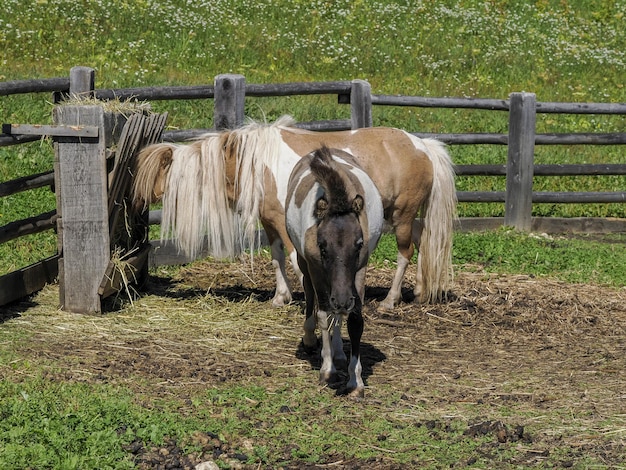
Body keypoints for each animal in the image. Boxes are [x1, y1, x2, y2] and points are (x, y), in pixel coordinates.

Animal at [133, 116, 454, 310]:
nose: (136, 200)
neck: (254, 163)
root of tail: (423, 146)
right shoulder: (270, 222)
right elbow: (277, 258)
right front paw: (280, 297)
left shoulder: (287, 224)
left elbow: (294, 260)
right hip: (400, 215)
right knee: (423, 241)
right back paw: (420, 291)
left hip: (401, 215)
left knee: (405, 252)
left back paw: (390, 300)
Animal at [286, 146, 382, 396]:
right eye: (322, 246)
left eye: (358, 244)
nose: (342, 300)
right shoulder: (317, 269)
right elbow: (323, 314)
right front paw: (327, 371)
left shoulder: (358, 271)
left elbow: (354, 319)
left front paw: (355, 382)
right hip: (306, 264)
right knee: (313, 296)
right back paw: (311, 340)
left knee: (336, 313)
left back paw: (339, 352)